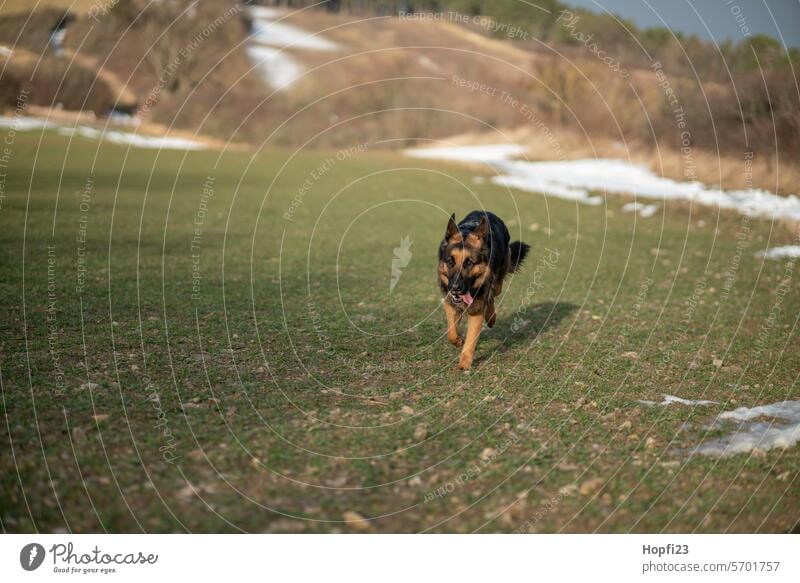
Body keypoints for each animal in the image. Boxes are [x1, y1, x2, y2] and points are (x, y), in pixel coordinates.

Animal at [440, 212, 528, 372]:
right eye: (450, 261)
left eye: (469, 262)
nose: (455, 288)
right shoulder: (449, 301)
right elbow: (452, 332)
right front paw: (458, 340)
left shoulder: (476, 309)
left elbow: (471, 339)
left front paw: (465, 363)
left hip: (497, 281)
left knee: (492, 294)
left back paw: (491, 317)